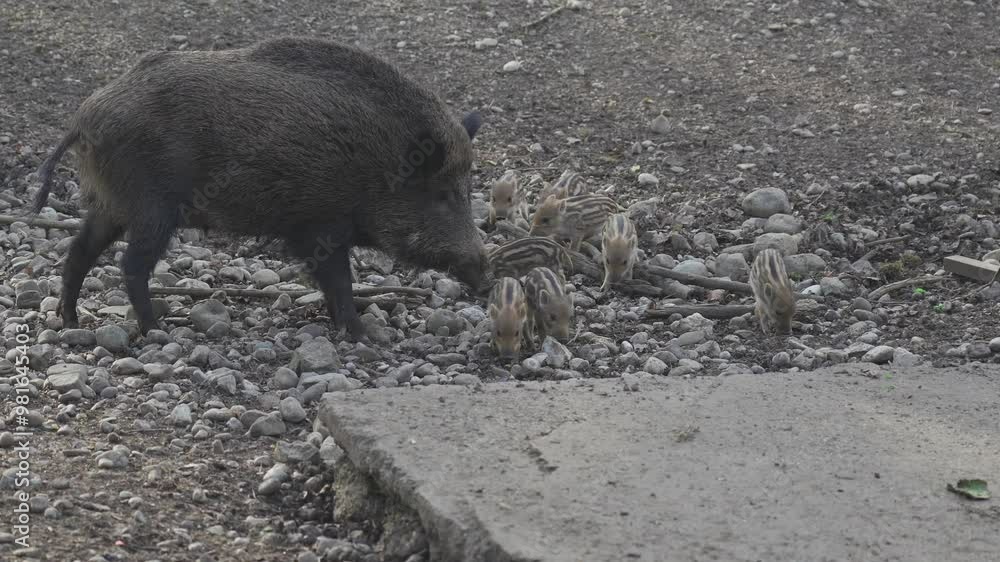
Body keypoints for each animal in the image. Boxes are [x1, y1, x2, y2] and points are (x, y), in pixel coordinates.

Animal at [32, 37, 486, 341]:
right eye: (443, 194)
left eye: (467, 189)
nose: (485, 271)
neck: (379, 166)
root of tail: (86, 115)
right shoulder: (320, 225)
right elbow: (340, 281)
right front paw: (365, 336)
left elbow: (333, 284)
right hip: (152, 207)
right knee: (131, 265)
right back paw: (156, 329)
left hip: (112, 204)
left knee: (79, 252)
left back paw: (70, 321)